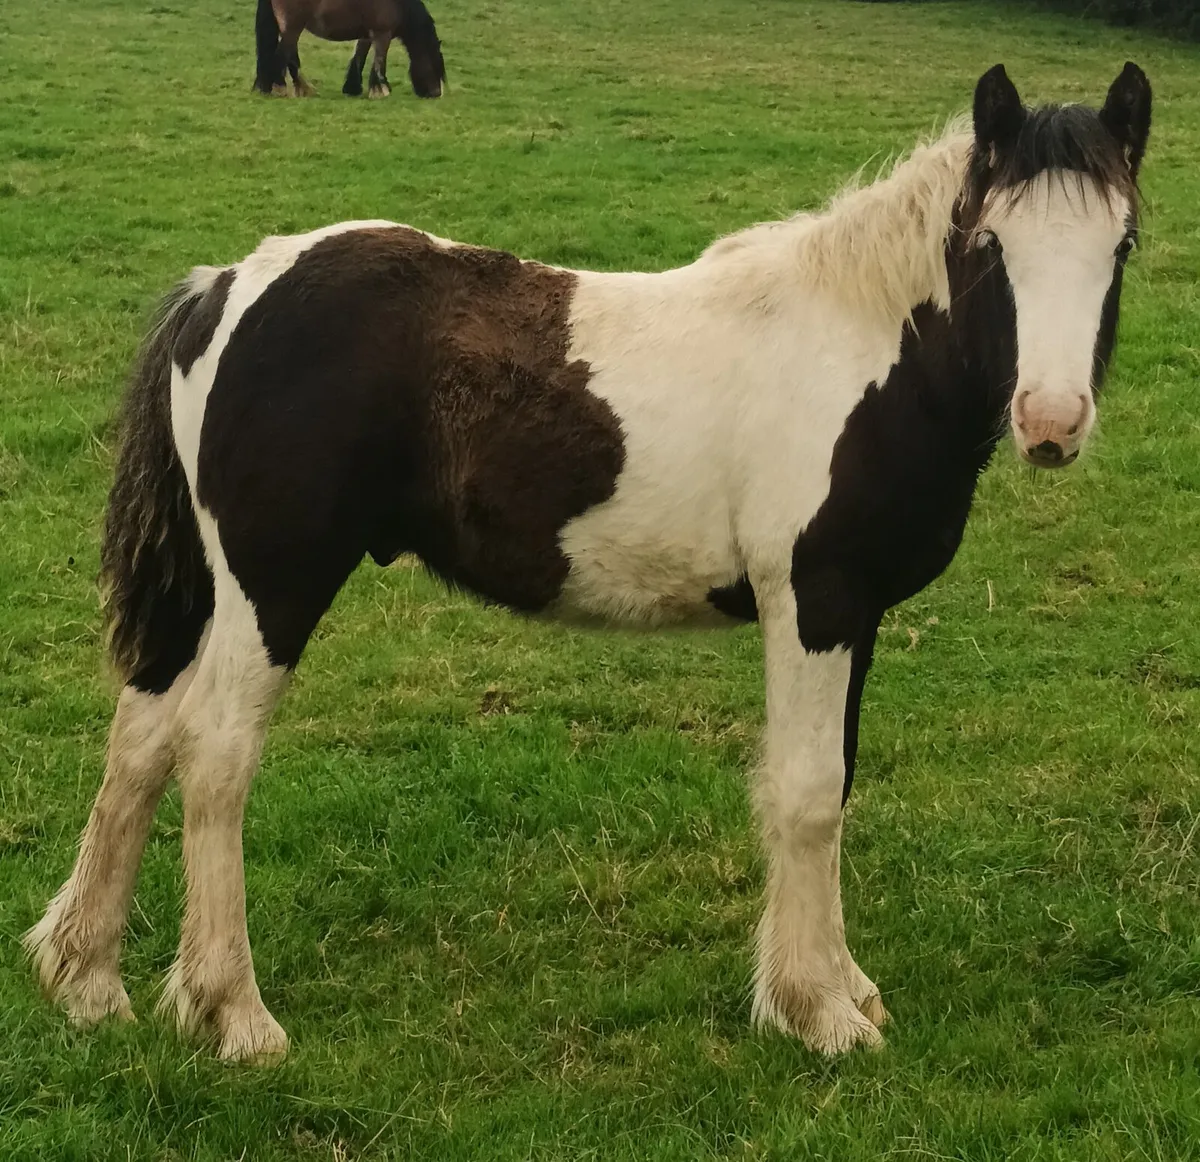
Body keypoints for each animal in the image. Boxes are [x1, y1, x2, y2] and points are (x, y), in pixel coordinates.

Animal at [26, 63, 1151, 1061]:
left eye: (1124, 242)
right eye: (991, 241)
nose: (1052, 423)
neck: (863, 347)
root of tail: (224, 290)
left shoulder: (856, 616)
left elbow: (836, 784)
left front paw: (844, 988)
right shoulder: (814, 603)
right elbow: (804, 792)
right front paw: (819, 1014)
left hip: (209, 595)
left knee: (143, 735)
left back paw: (86, 981)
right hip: (275, 585)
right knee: (215, 754)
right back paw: (234, 1014)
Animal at [253, 0, 445, 99]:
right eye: (434, 66)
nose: (436, 93)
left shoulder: (367, 36)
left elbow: (359, 58)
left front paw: (353, 88)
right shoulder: (383, 34)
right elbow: (379, 62)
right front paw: (381, 91)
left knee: (291, 57)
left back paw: (304, 89)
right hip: (293, 27)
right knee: (282, 55)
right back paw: (279, 88)